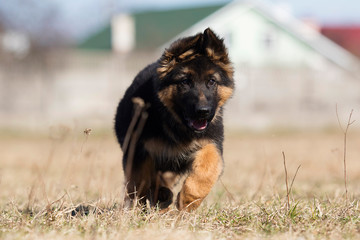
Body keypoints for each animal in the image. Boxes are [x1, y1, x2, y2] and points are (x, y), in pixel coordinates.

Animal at [114, 28, 235, 211]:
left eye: (212, 81)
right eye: (185, 82)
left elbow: (207, 171)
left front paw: (188, 200)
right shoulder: (139, 149)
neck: (177, 125)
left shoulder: (210, 143)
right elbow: (140, 182)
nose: (203, 112)